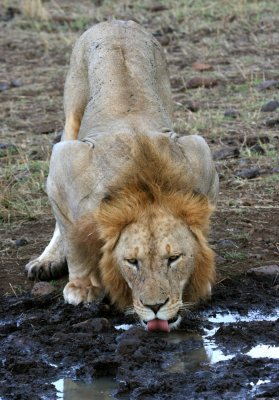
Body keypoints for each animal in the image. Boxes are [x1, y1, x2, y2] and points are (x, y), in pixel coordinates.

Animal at [25, 19, 219, 332]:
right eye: (132, 262)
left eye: (173, 258)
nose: (156, 307)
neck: (146, 186)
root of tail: (115, 21)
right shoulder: (65, 163)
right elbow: (74, 239)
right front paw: (82, 287)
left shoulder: (200, 156)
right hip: (72, 114)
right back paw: (47, 261)